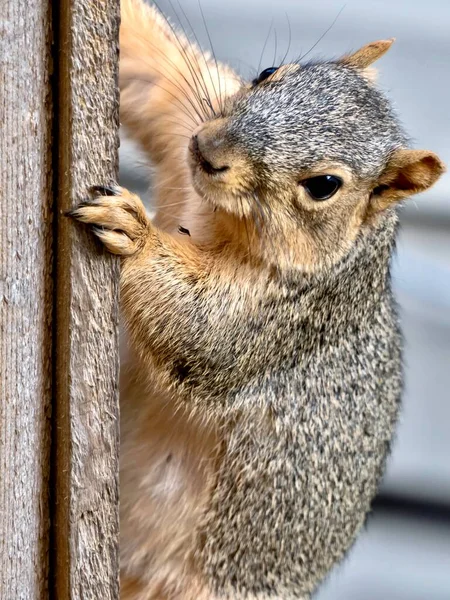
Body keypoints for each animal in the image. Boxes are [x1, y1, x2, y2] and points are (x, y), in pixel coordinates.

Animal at [68, 1, 444, 600]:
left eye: (324, 186)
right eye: (270, 74)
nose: (212, 150)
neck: (218, 216)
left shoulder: (285, 316)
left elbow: (201, 327)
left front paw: (136, 234)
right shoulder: (183, 122)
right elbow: (155, 73)